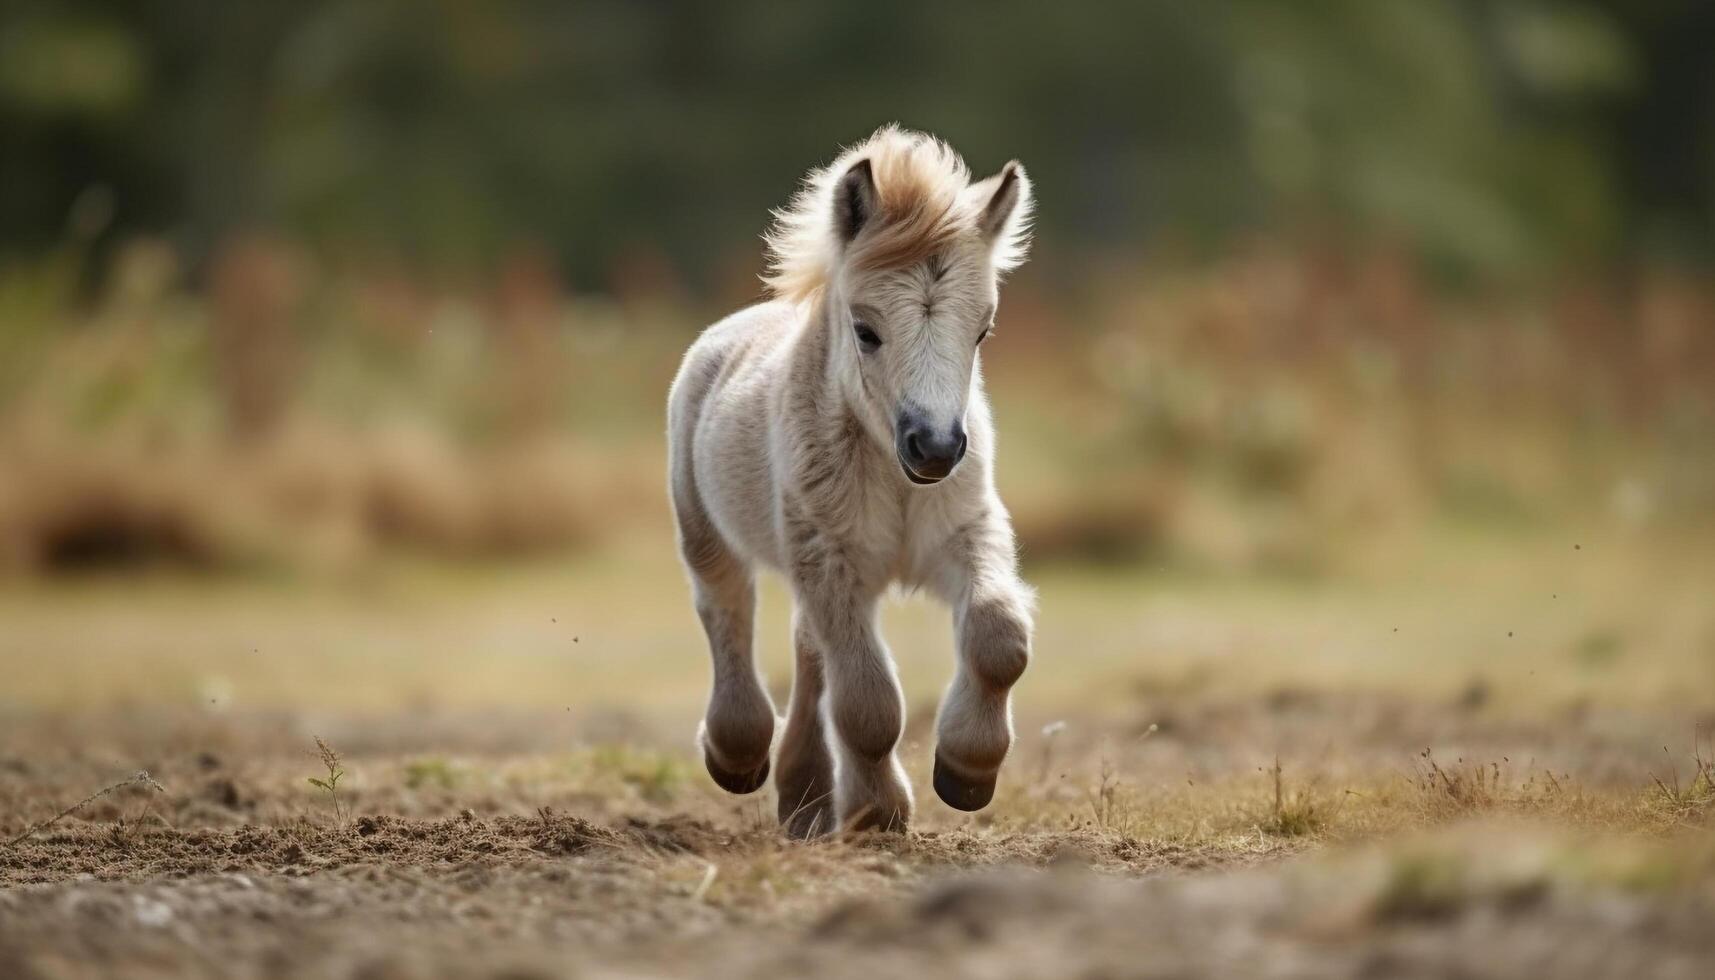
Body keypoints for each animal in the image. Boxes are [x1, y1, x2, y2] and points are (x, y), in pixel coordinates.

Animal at [665, 124, 1029, 837]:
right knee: (727, 608)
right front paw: (878, 812)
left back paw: (804, 798)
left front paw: (966, 771)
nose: (935, 447)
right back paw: (739, 754)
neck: (894, 477)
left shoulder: (965, 532)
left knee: (808, 652)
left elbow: (1000, 637)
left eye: (983, 330)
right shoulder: (831, 559)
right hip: (708, 529)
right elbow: (868, 704)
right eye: (866, 330)